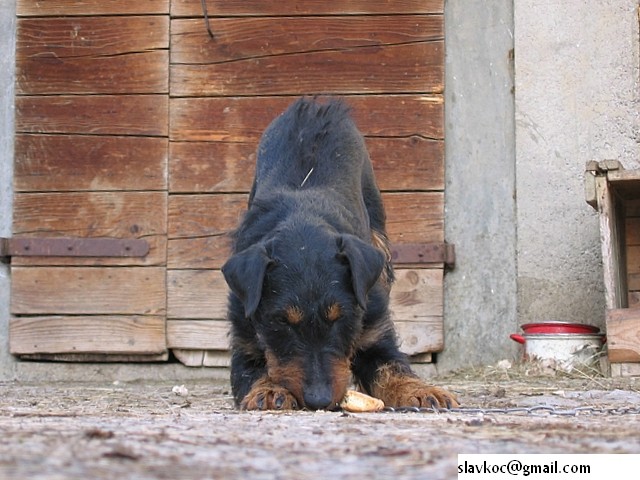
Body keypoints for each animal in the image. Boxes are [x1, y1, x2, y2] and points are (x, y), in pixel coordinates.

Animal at [222, 98, 458, 412]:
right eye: (282, 322)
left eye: (340, 318)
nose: (319, 400)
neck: (302, 218)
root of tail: (316, 105)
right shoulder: (244, 345)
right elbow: (256, 371)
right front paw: (269, 391)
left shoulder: (375, 337)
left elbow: (392, 368)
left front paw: (421, 391)